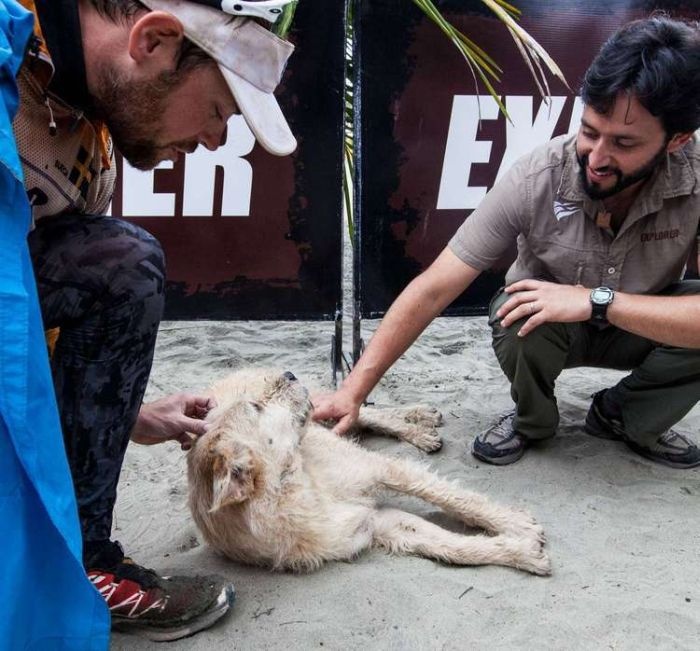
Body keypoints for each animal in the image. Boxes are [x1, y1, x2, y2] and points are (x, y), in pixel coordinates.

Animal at [187, 370, 552, 580]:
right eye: (256, 407)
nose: (288, 373)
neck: (295, 490)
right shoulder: (376, 524)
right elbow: (452, 547)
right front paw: (521, 551)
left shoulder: (382, 468)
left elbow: (456, 499)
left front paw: (516, 524)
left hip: (325, 412)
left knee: (363, 411)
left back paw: (419, 422)